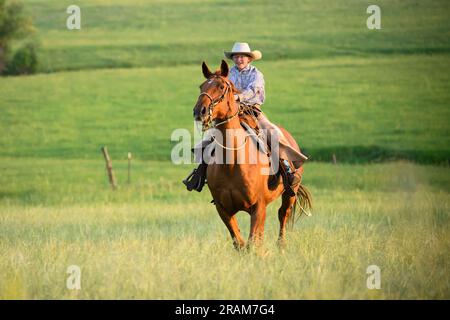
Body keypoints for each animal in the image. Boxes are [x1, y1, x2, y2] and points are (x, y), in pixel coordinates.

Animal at [192, 60, 312, 250]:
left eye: (221, 86)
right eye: (201, 86)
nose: (200, 111)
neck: (232, 163)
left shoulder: (258, 206)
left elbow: (252, 242)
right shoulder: (223, 209)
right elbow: (240, 243)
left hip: (289, 194)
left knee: (283, 215)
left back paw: (281, 246)